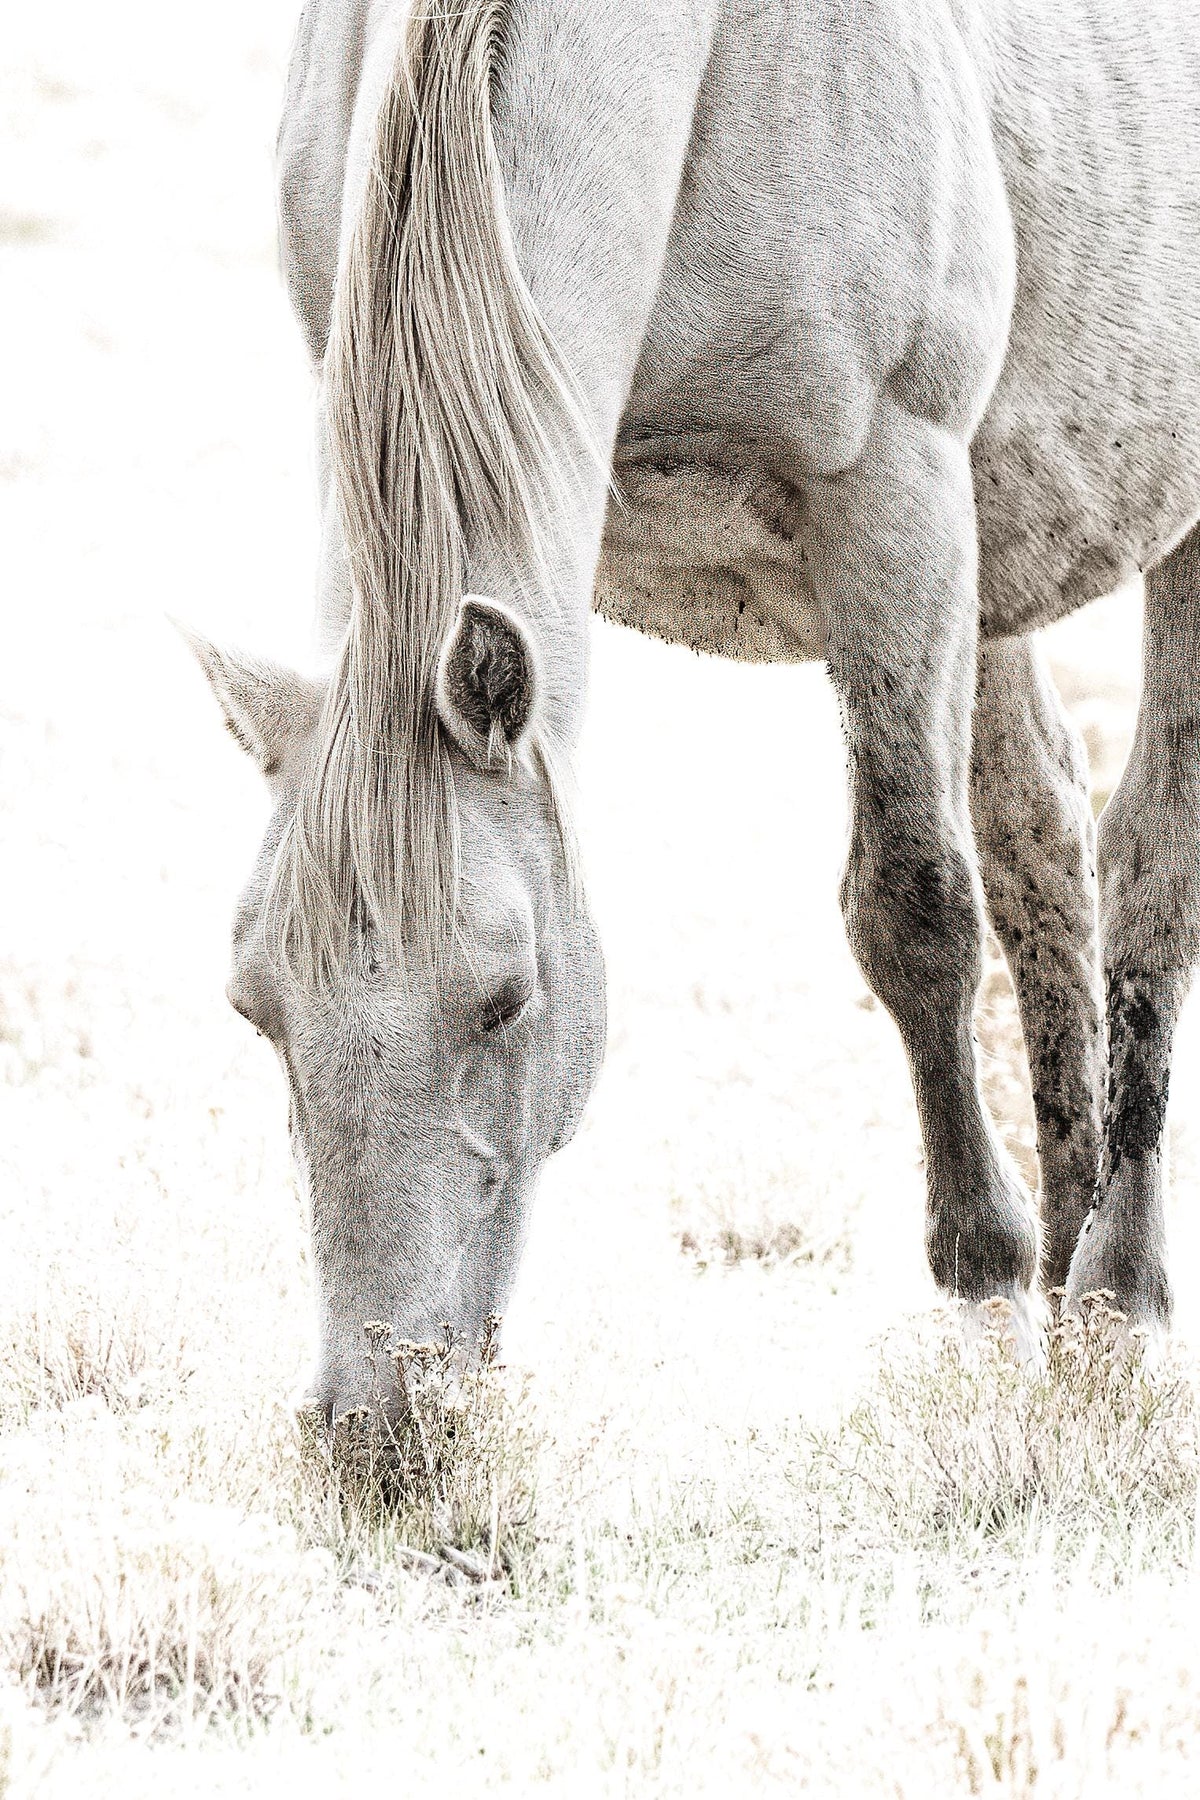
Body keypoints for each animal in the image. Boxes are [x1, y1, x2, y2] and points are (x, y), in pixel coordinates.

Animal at [187, 0, 1200, 1417]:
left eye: (508, 1000)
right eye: (254, 1006)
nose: (373, 1424)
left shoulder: (894, 496)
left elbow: (914, 909)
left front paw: (980, 1292)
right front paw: (1015, 1289)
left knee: (1150, 856)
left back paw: (1115, 1296)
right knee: (1046, 837)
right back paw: (1072, 1282)